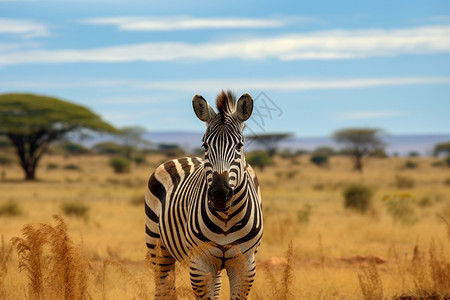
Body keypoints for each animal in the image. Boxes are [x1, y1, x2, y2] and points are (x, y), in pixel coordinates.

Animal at [144, 90, 264, 298]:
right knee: (163, 289)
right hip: (158, 247)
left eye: (239, 146)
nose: (219, 194)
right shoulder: (200, 264)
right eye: (205, 146)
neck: (226, 219)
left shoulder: (245, 264)